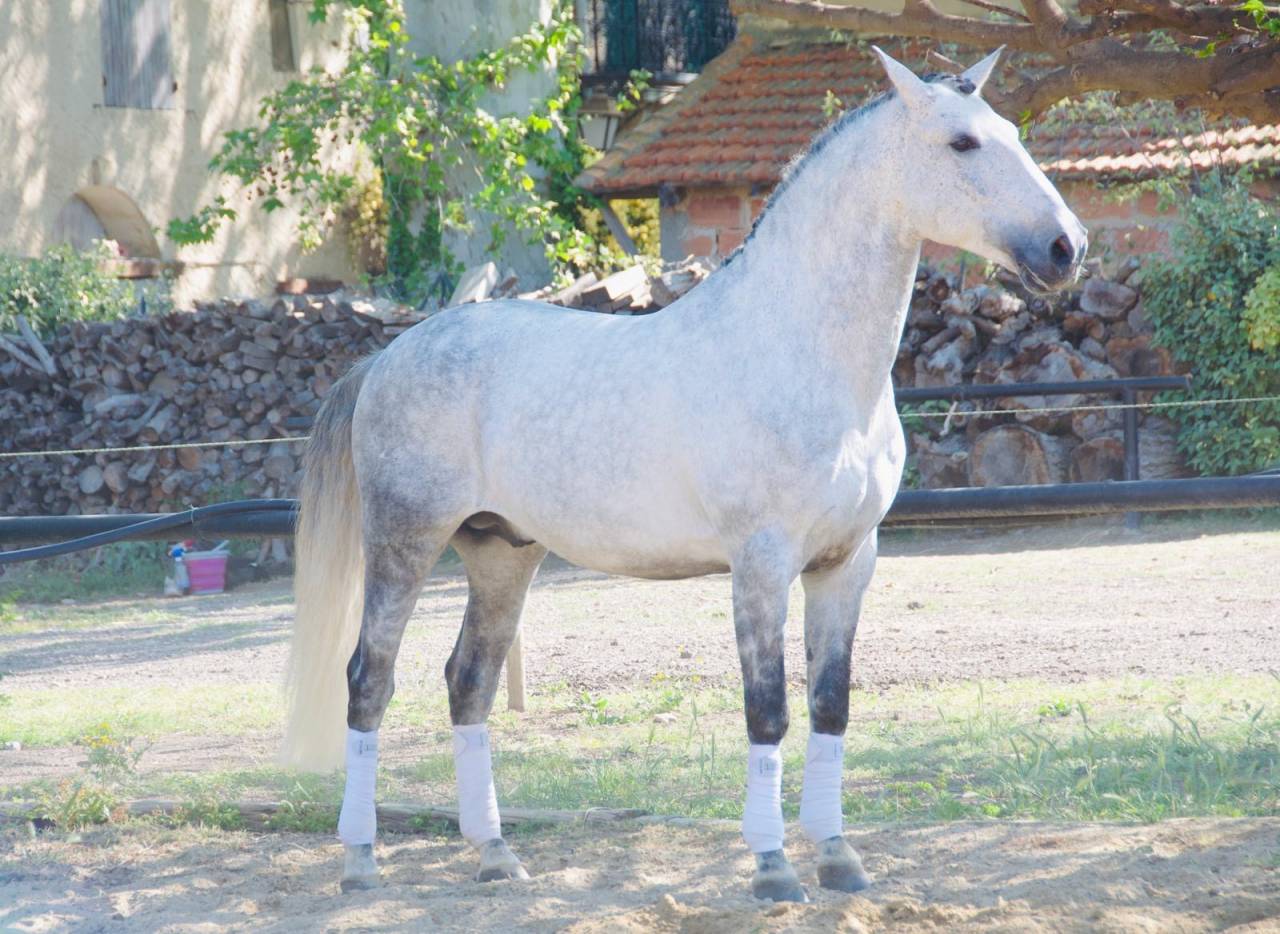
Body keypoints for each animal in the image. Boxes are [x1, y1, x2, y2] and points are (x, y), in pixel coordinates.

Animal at [281, 47, 1086, 902]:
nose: (1066, 247)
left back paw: (496, 856)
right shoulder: (761, 563)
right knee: (369, 681)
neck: (801, 351)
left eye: (1012, 133)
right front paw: (773, 868)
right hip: (404, 541)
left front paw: (838, 858)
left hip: (501, 553)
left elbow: (830, 706)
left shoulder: (848, 561)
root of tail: (388, 358)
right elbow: (767, 711)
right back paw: (360, 863)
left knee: (469, 682)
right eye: (962, 143)